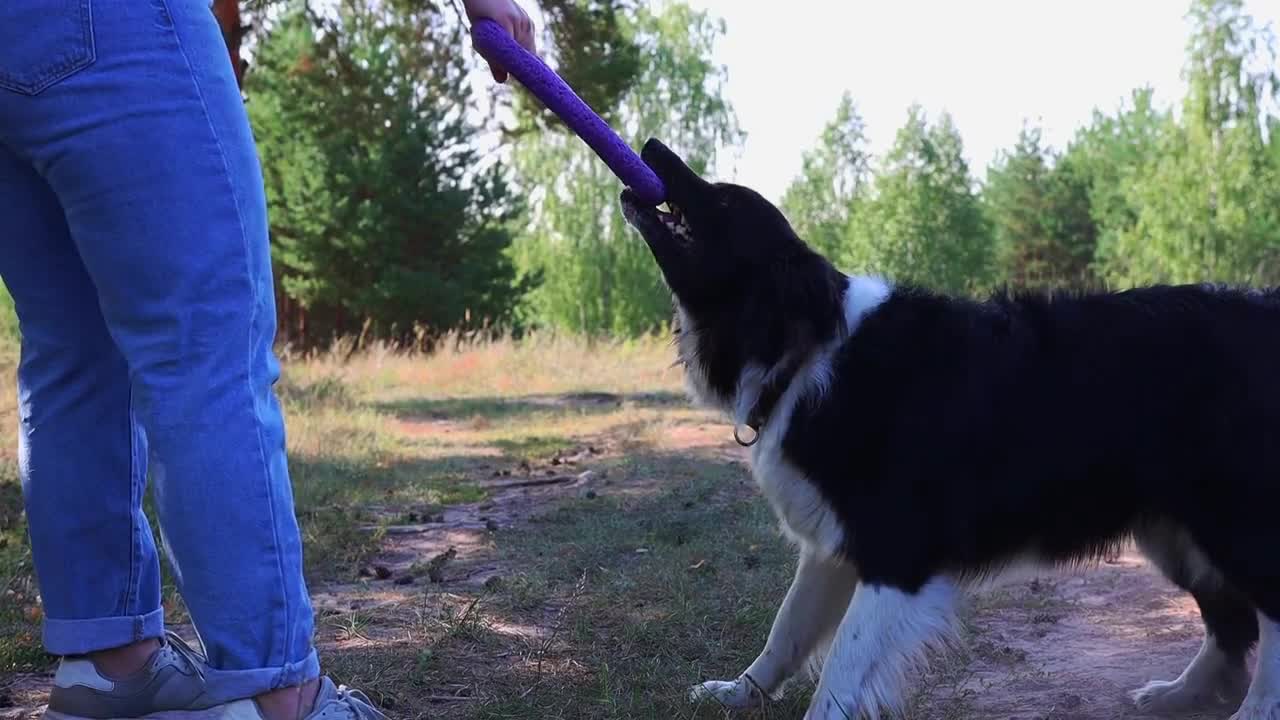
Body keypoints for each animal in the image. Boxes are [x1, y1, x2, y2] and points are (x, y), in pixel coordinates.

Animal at [614, 135, 1280, 717]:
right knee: (1231, 622)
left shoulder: (896, 553)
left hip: (1230, 517)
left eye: (725, 201)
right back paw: (1182, 694)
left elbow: (841, 670)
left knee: (1268, 614)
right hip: (1176, 529)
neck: (805, 351)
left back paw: (1253, 710)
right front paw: (737, 693)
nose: (650, 146)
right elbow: (786, 631)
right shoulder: (833, 546)